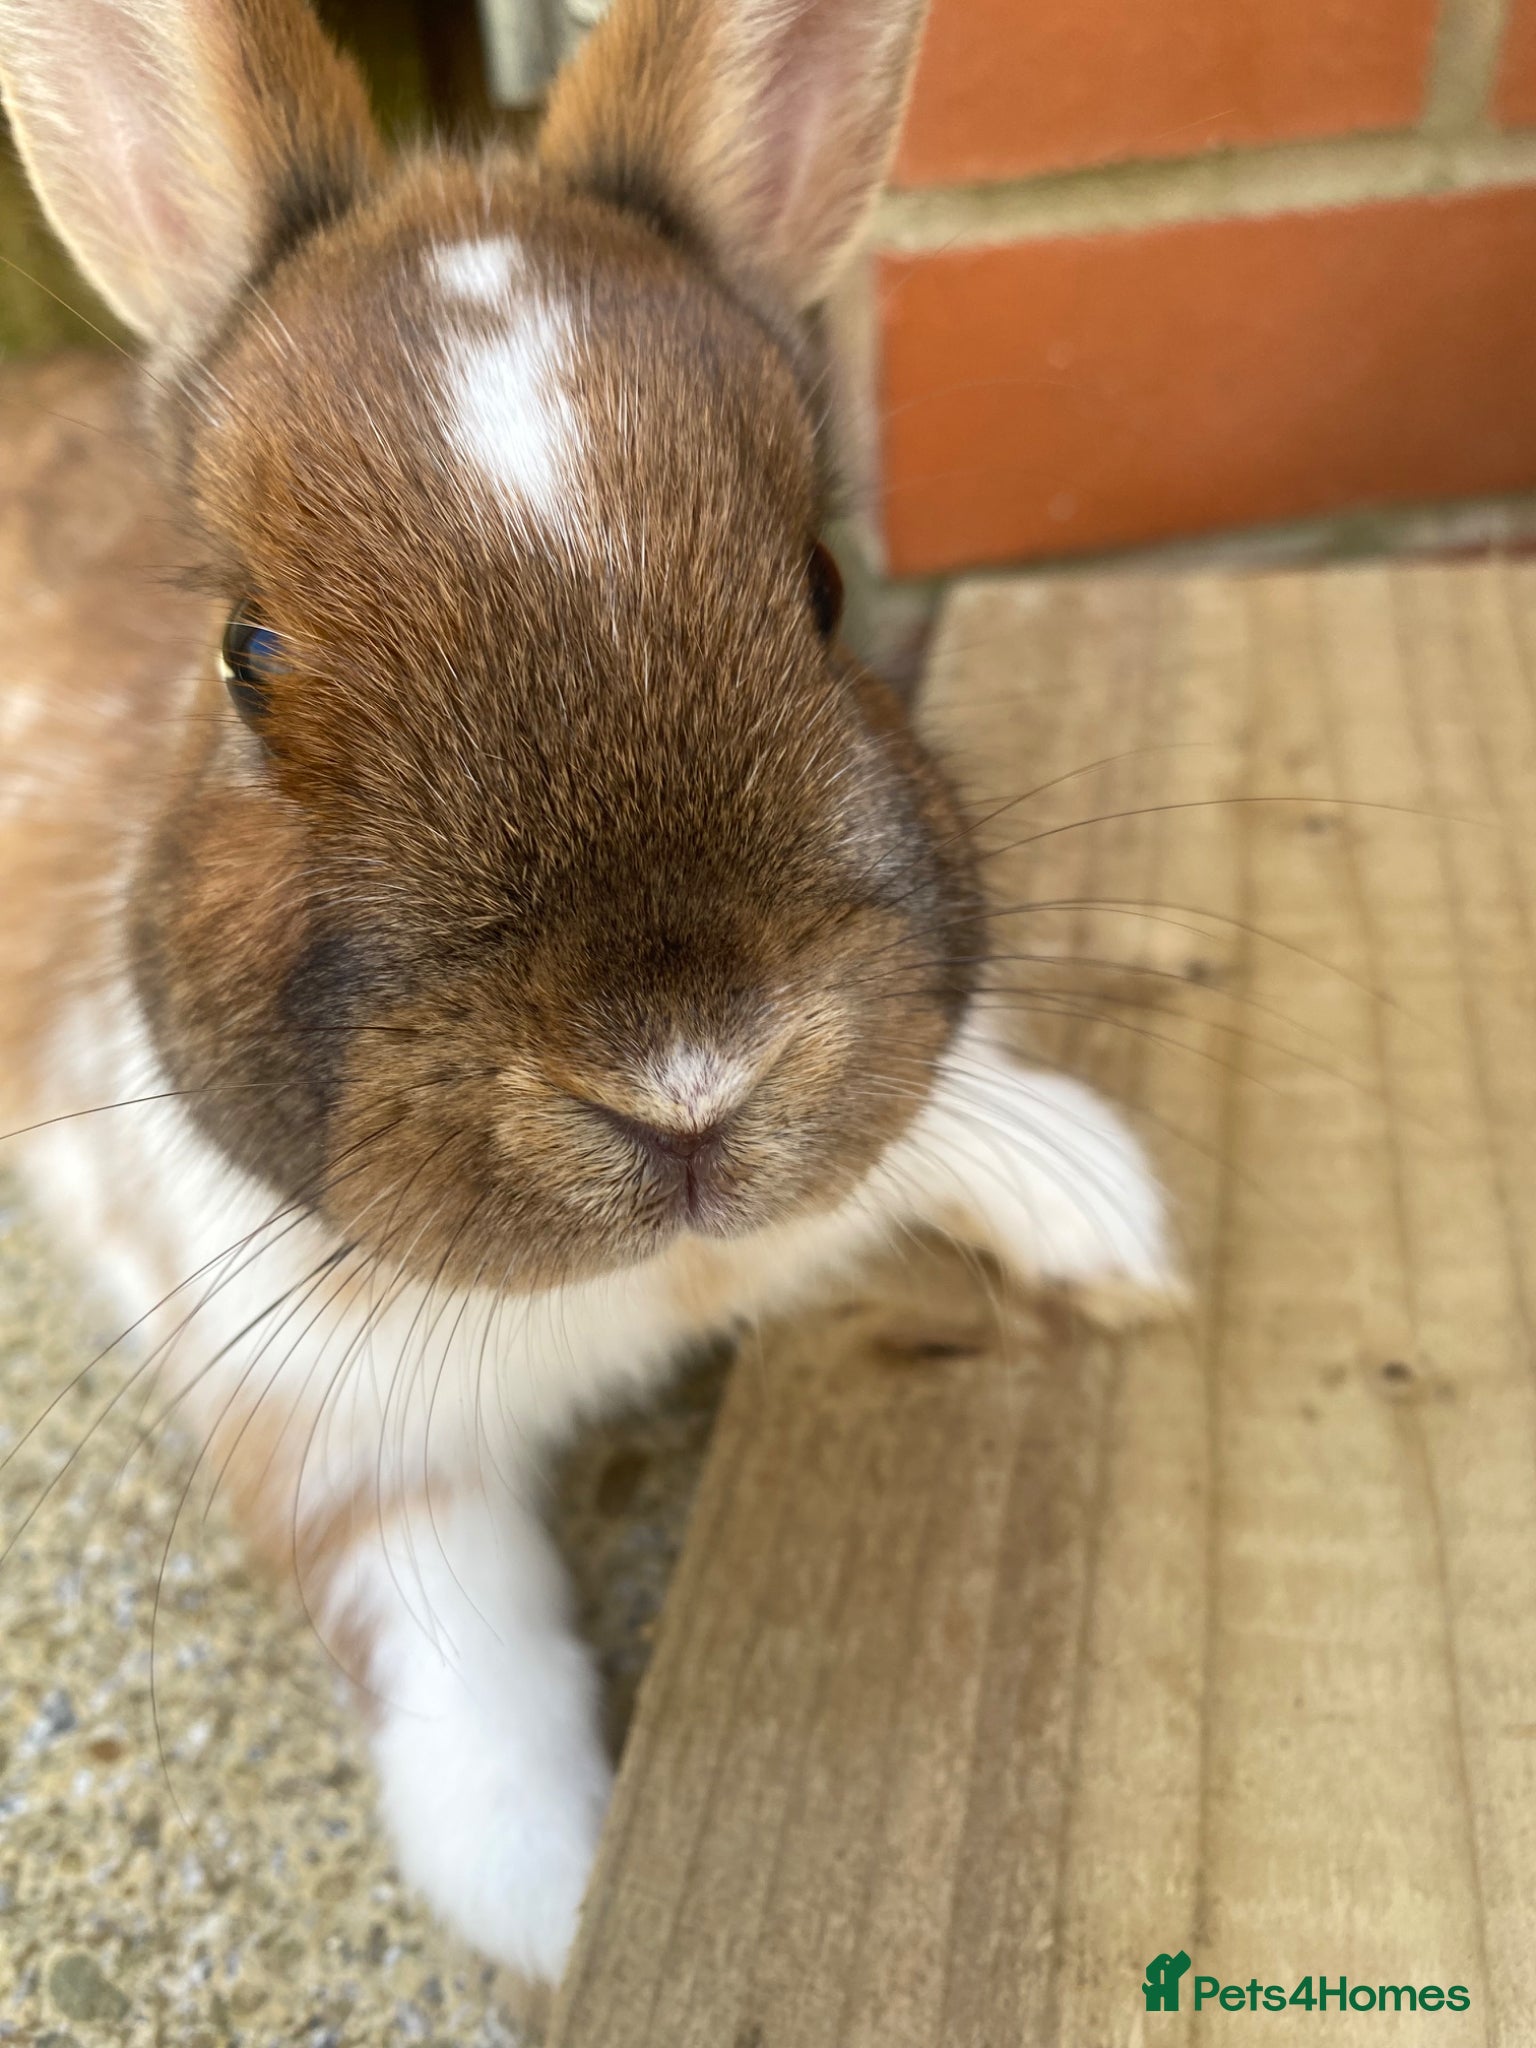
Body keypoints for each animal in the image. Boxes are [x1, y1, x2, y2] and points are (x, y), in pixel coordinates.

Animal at [0, 0, 1175, 1983]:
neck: (652, 1280)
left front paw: (1102, 1217)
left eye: (823, 581)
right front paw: (556, 1906)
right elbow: (467, 1683)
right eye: (247, 654)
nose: (687, 1074)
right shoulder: (335, 1444)